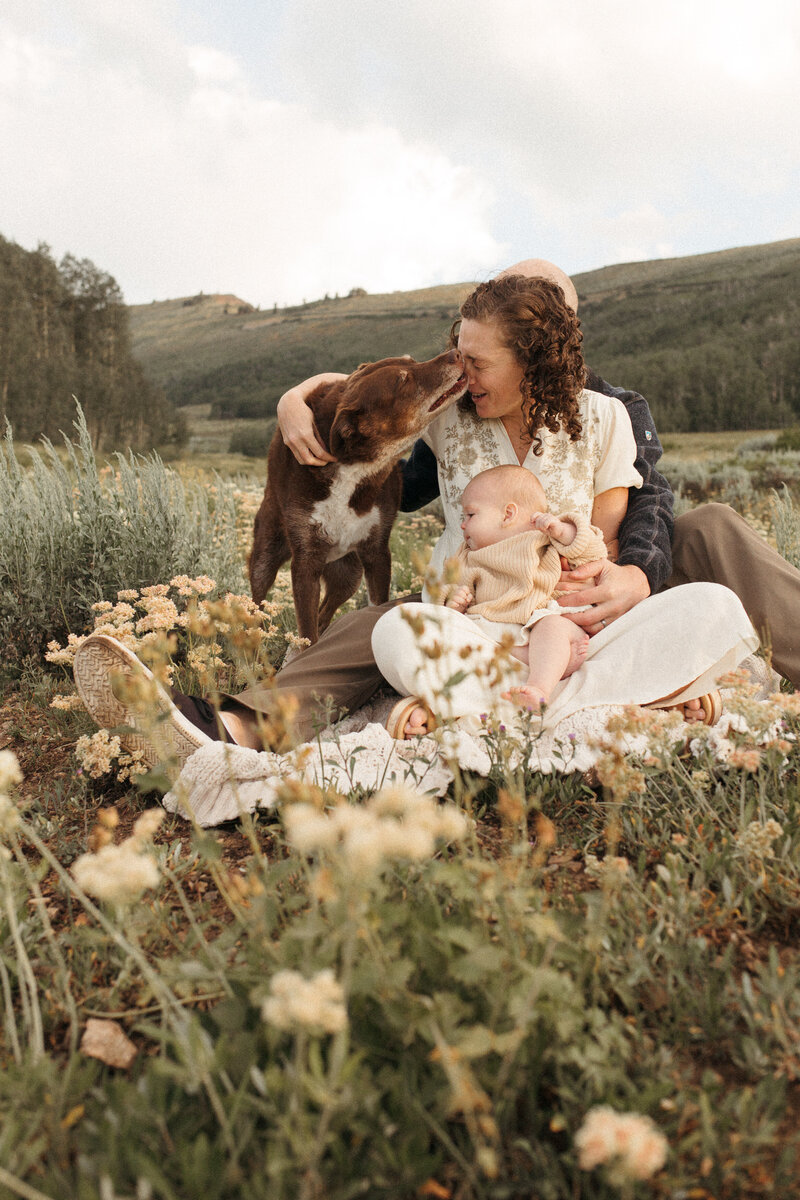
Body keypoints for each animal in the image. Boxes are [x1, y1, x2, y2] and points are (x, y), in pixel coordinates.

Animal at [247, 348, 465, 643]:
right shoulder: (306, 563)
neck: (353, 467)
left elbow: (372, 604)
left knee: (325, 611)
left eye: (411, 360)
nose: (456, 353)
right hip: (266, 553)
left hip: (348, 573)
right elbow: (307, 634)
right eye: (402, 380)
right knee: (257, 602)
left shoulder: (377, 552)